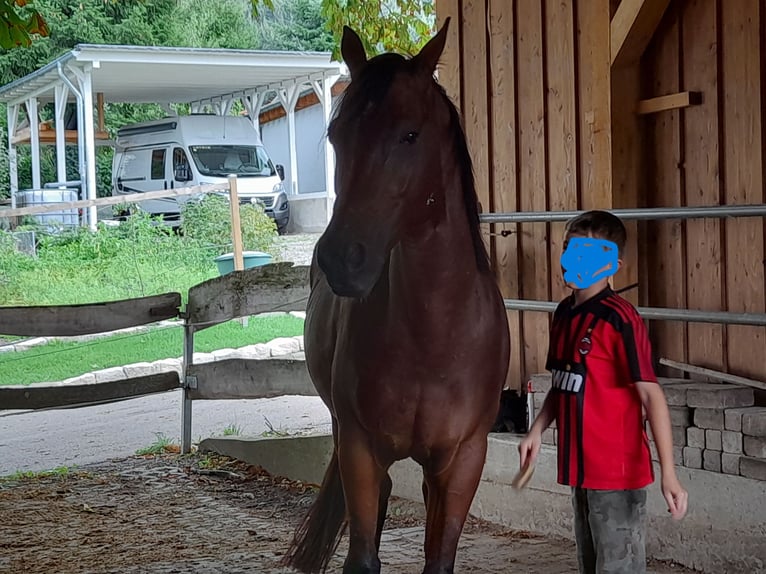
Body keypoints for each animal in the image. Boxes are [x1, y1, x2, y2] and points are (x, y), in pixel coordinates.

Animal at [284, 18, 512, 574]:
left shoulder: (462, 461)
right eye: (336, 135)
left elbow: (439, 557)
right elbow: (363, 554)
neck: (433, 336)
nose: (341, 258)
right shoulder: (360, 450)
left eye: (410, 134)